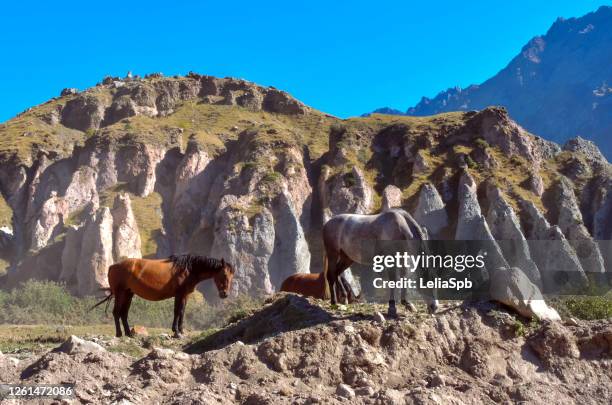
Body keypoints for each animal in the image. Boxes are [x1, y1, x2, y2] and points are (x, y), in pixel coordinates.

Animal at [94, 254, 235, 336]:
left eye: (231, 276)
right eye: (224, 275)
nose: (225, 294)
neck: (189, 269)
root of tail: (113, 266)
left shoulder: (185, 295)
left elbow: (182, 312)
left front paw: (180, 330)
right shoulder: (179, 294)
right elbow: (177, 311)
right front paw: (176, 332)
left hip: (128, 294)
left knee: (123, 313)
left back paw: (129, 333)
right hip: (120, 293)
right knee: (116, 312)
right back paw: (119, 334)